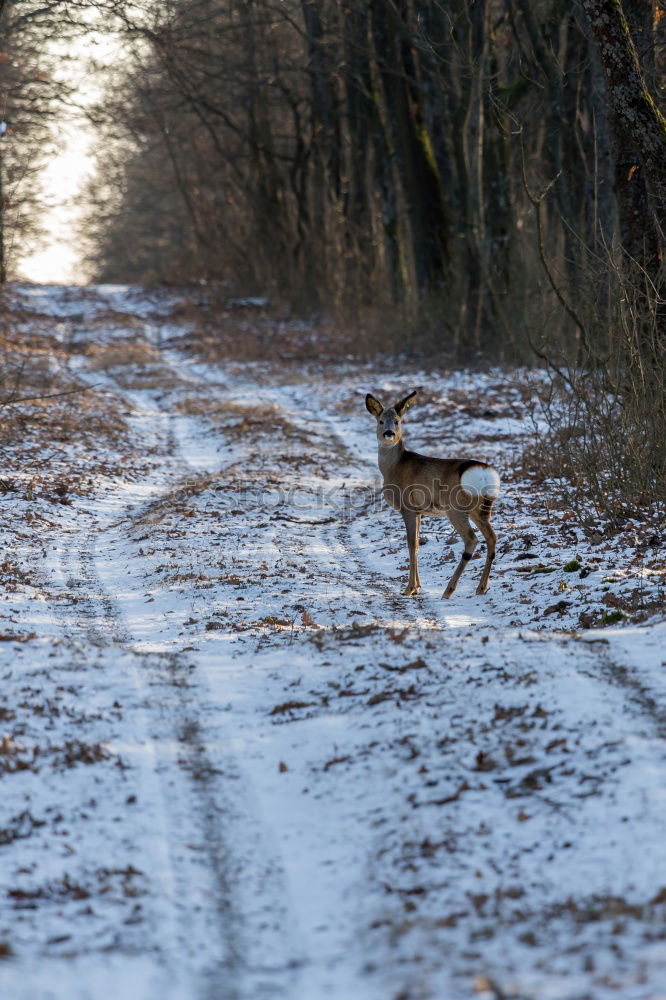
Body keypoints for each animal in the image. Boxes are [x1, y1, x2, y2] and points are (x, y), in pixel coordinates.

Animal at [364, 388, 498, 592]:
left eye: (397, 421)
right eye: (380, 421)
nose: (389, 433)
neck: (394, 467)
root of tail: (484, 473)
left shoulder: (408, 507)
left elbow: (411, 545)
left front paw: (410, 588)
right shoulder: (419, 511)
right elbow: (418, 545)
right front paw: (418, 586)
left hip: (456, 508)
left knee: (472, 540)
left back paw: (448, 590)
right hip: (481, 509)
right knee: (492, 538)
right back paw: (481, 588)